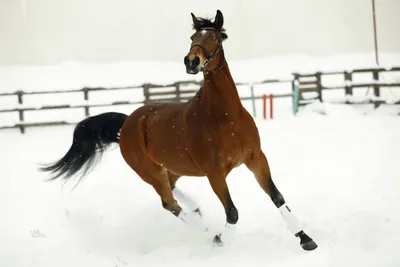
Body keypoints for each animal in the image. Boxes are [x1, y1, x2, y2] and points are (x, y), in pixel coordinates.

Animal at [39, 8, 318, 251]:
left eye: (214, 37)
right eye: (193, 38)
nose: (191, 61)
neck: (226, 118)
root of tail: (128, 123)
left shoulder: (255, 158)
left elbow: (277, 197)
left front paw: (305, 238)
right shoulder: (215, 174)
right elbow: (232, 212)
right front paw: (220, 240)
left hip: (172, 167)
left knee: (173, 191)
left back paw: (197, 209)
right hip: (150, 173)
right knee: (169, 203)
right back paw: (205, 230)